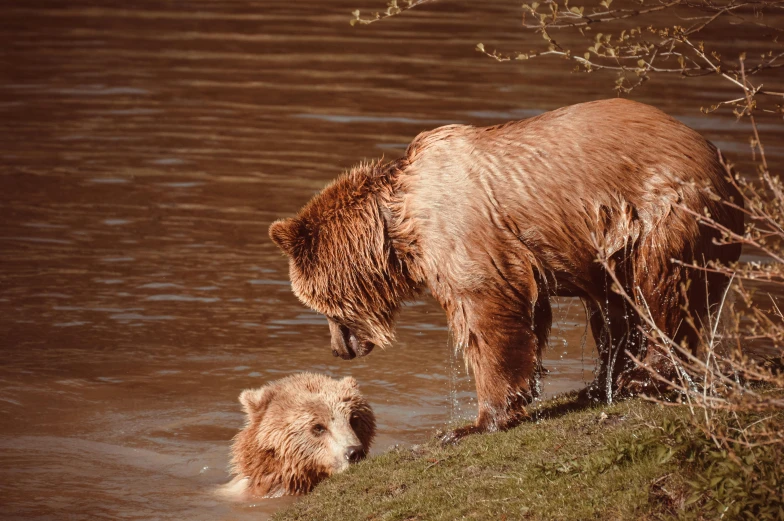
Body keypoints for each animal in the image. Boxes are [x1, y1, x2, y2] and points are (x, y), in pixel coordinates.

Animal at [268, 98, 740, 438]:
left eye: (317, 303)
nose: (338, 349)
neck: (397, 227)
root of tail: (723, 163)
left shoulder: (467, 234)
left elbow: (487, 313)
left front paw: (473, 424)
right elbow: (531, 313)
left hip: (664, 210)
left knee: (661, 291)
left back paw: (643, 378)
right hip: (613, 244)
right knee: (614, 308)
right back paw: (600, 384)